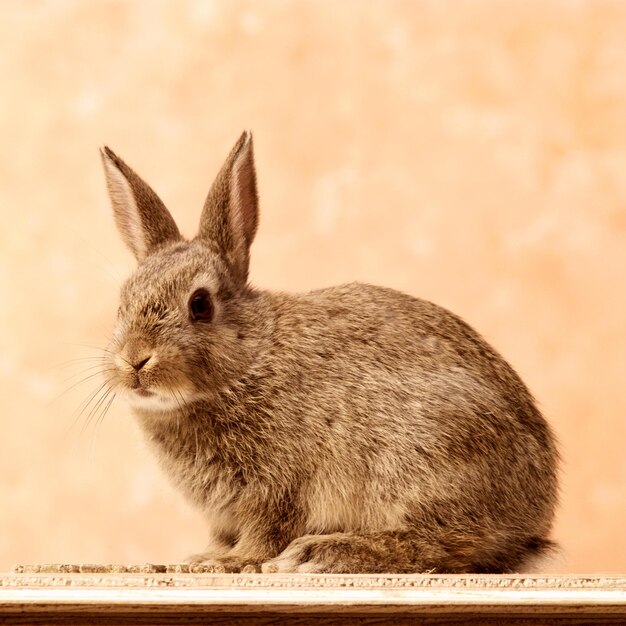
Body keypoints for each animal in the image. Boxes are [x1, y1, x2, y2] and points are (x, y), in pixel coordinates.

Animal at [100, 130, 560, 572]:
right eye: (121, 304)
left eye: (200, 305)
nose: (135, 360)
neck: (252, 359)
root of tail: (534, 514)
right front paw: (204, 558)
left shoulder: (279, 486)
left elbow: (266, 531)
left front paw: (233, 561)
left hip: (423, 461)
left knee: (440, 546)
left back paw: (325, 552)